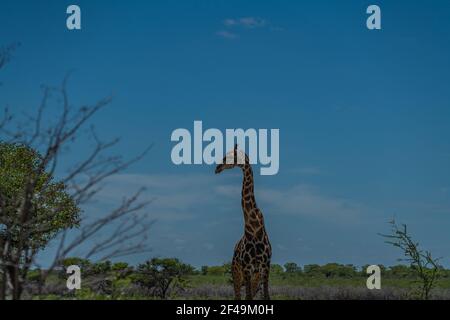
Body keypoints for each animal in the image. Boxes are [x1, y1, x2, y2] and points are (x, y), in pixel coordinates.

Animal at [214, 145, 270, 300]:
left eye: (227, 157)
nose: (217, 168)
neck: (255, 229)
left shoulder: (265, 266)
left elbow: (265, 296)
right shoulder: (246, 267)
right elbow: (248, 297)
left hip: (255, 275)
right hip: (236, 272)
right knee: (238, 295)